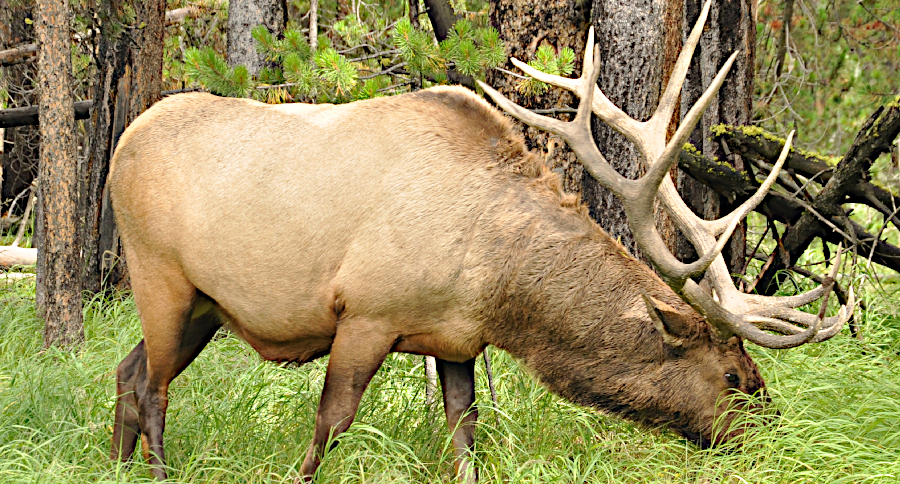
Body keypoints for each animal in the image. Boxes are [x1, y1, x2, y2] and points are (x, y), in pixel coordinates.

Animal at [108, 1, 853, 481]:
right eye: (733, 377)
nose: (774, 439)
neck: (496, 281)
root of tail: (121, 144)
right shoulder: (367, 313)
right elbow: (330, 426)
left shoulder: (457, 341)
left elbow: (465, 438)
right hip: (159, 276)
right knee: (153, 386)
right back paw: (157, 473)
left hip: (205, 306)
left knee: (125, 370)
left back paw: (113, 466)